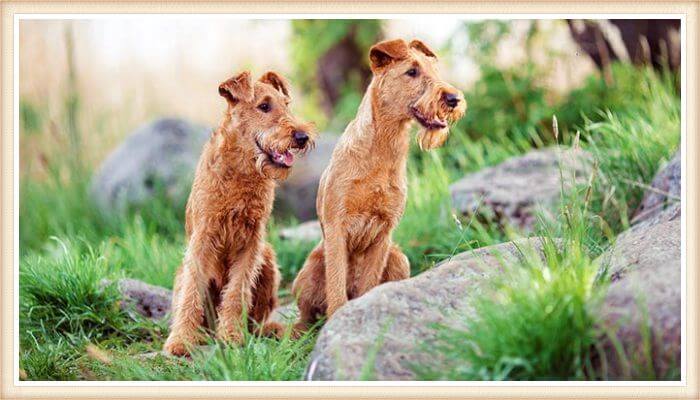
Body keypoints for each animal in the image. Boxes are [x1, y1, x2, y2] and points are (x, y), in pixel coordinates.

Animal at [163, 69, 316, 356]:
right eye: (264, 106)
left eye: (286, 104)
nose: (302, 137)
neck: (242, 171)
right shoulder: (203, 239)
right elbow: (191, 293)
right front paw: (180, 341)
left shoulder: (251, 242)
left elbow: (237, 292)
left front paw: (232, 336)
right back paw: (200, 335)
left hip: (268, 260)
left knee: (256, 319)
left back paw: (262, 331)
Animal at [290, 38, 464, 332]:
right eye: (412, 71)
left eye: (433, 69)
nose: (453, 99)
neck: (382, 151)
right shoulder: (337, 227)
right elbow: (336, 287)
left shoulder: (383, 232)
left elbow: (368, 284)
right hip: (309, 271)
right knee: (305, 316)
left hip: (399, 258)